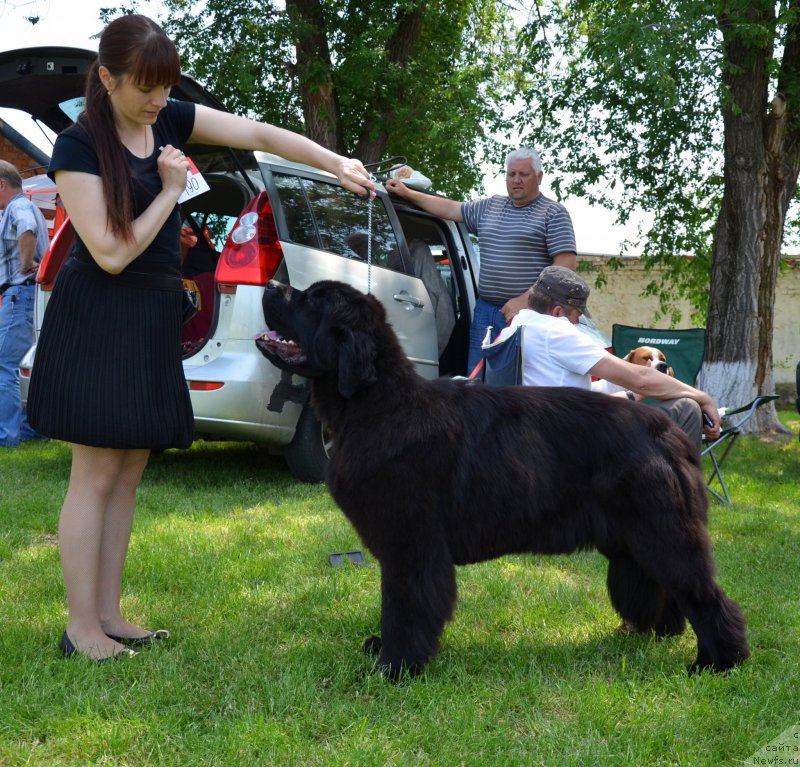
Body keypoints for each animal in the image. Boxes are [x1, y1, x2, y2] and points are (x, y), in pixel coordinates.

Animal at [256, 280, 752, 680]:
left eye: (312, 300)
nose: (272, 283)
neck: (376, 405)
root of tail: (668, 431)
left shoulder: (412, 546)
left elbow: (404, 607)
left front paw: (393, 667)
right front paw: (383, 650)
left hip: (663, 533)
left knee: (706, 595)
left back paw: (718, 662)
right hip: (634, 539)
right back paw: (659, 635)